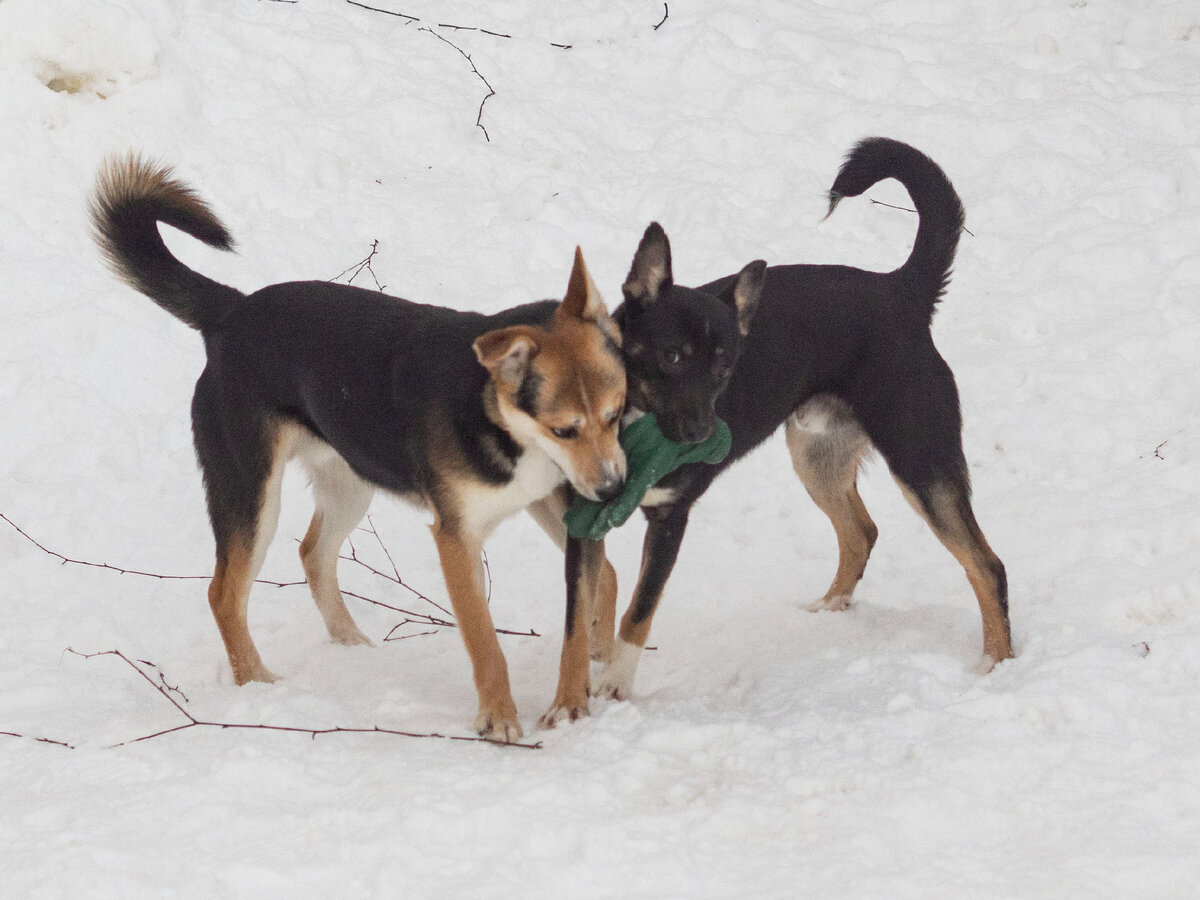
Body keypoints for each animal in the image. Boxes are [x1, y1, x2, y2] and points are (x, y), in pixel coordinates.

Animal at [92, 158, 628, 744]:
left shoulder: (552, 500)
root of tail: (233, 312)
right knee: (224, 594)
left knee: (312, 553)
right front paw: (499, 719)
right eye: (565, 430)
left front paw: (588, 677)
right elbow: (486, 643)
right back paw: (257, 683)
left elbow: (598, 588)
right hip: (252, 493)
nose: (613, 489)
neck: (494, 412)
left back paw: (351, 645)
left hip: (351, 484)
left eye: (616, 414)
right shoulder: (455, 537)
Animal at [549, 137, 1008, 715]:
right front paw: (566, 708)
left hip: (921, 461)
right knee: (861, 533)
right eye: (671, 357)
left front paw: (614, 686)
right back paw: (827, 610)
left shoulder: (672, 521)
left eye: (725, 368)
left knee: (987, 565)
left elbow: (638, 612)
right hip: (817, 454)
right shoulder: (582, 519)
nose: (702, 436)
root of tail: (901, 291)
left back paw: (996, 663)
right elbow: (575, 625)